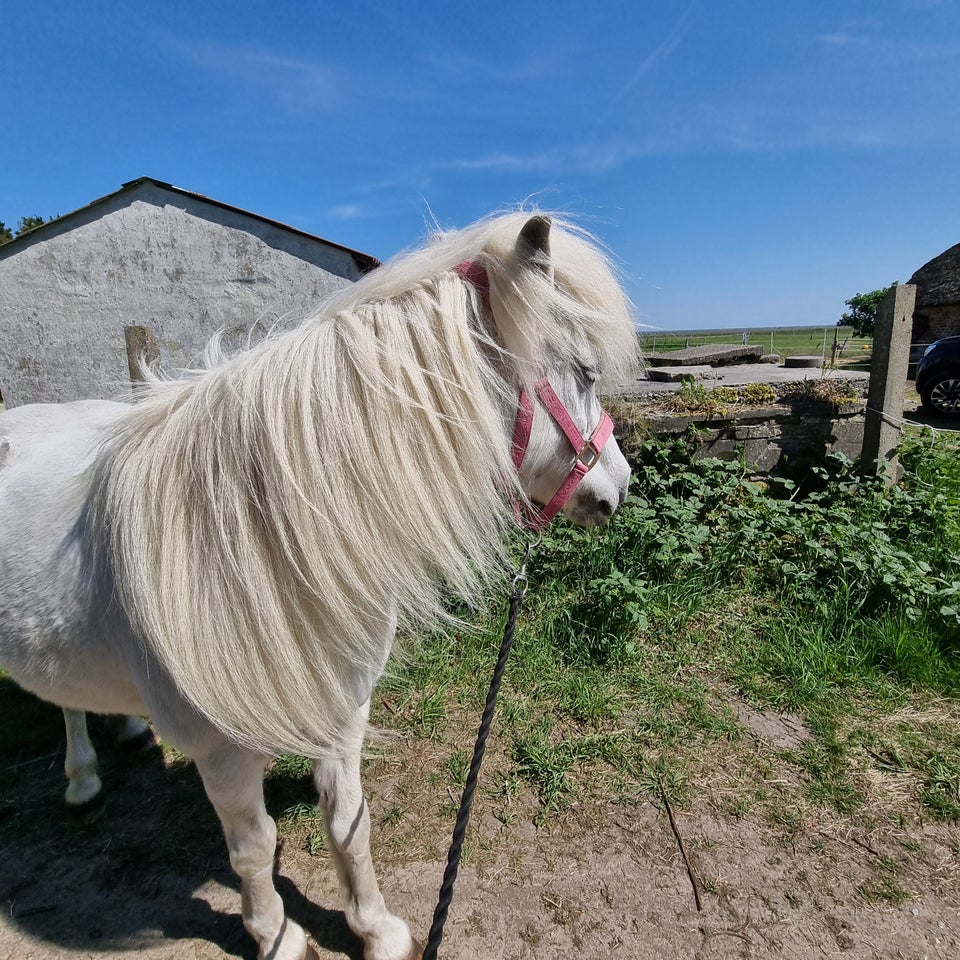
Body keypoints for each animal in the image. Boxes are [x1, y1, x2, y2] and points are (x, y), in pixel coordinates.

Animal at [1, 214, 644, 956]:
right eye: (587, 373)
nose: (620, 484)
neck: (257, 545)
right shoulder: (221, 752)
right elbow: (254, 850)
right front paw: (277, 936)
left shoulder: (341, 714)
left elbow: (349, 823)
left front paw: (376, 928)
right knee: (64, 707)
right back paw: (82, 779)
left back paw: (127, 729)